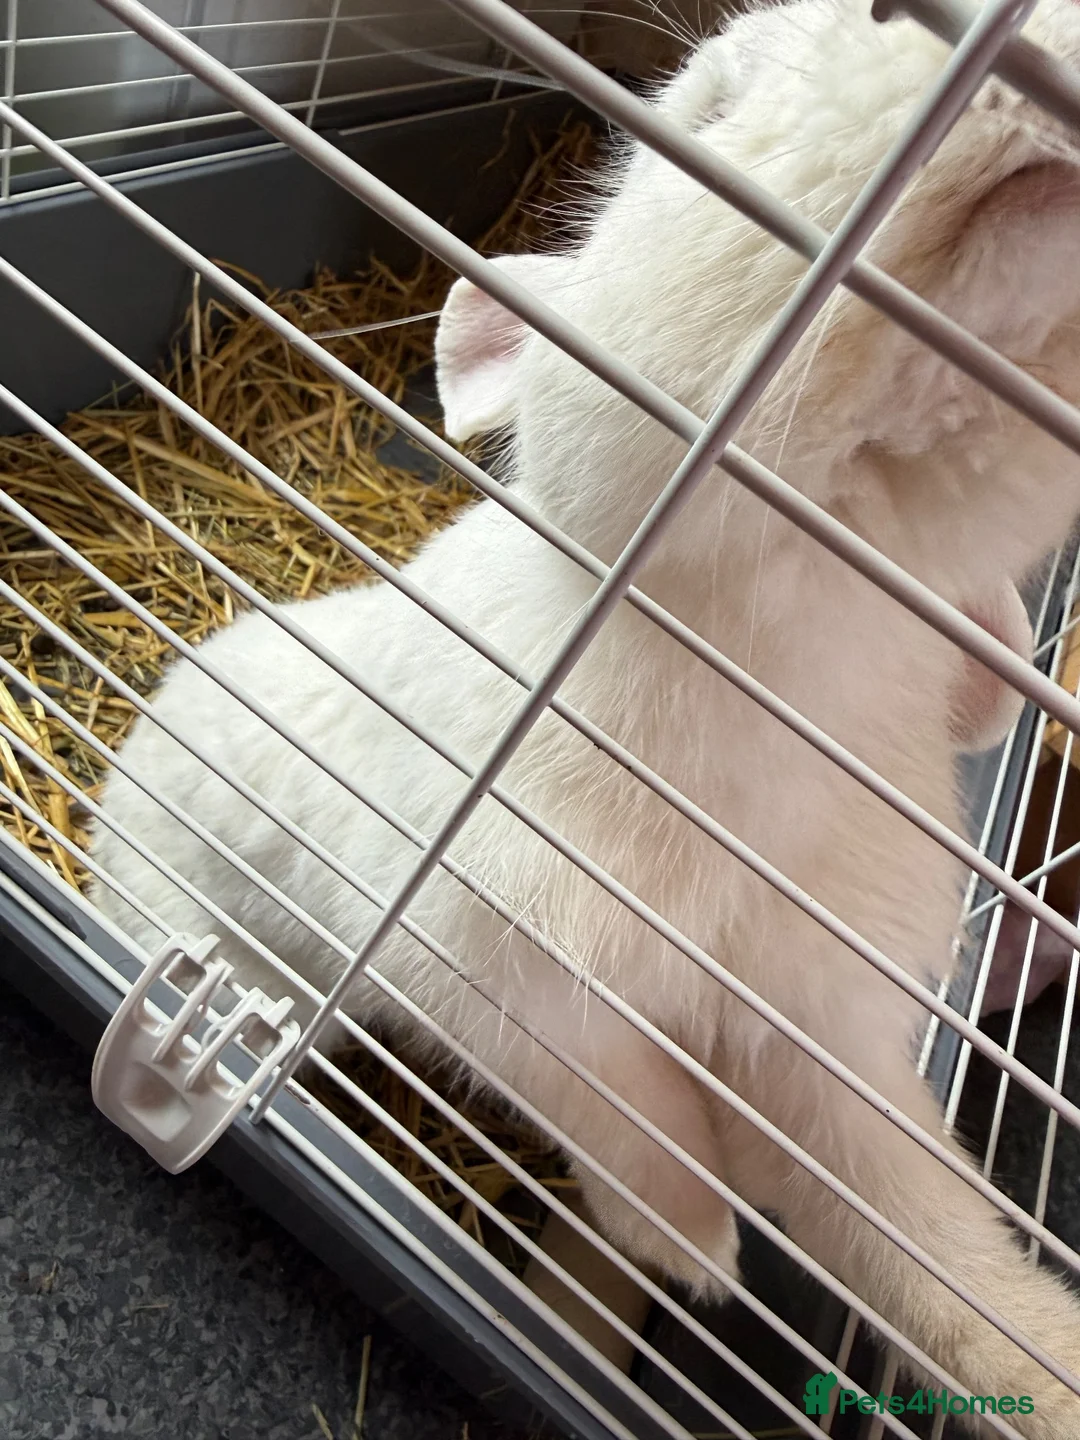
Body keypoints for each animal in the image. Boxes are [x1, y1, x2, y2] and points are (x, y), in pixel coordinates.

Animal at [87, 0, 1080, 1432]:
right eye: (708, 107)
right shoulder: (494, 959)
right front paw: (694, 1248)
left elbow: (913, 1231)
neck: (787, 644)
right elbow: (624, 1110)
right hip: (184, 903)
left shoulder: (816, 1027)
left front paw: (1035, 1365)